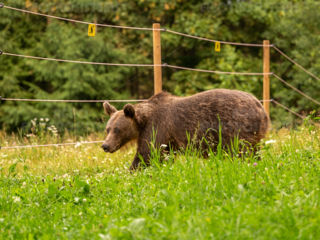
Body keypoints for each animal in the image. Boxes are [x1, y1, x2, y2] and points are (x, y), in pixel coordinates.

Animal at [101, 89, 268, 170]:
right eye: (107, 129)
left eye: (117, 129)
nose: (105, 145)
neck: (142, 122)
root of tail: (261, 108)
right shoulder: (168, 142)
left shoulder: (157, 128)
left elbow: (146, 154)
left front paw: (133, 171)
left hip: (237, 128)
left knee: (242, 152)